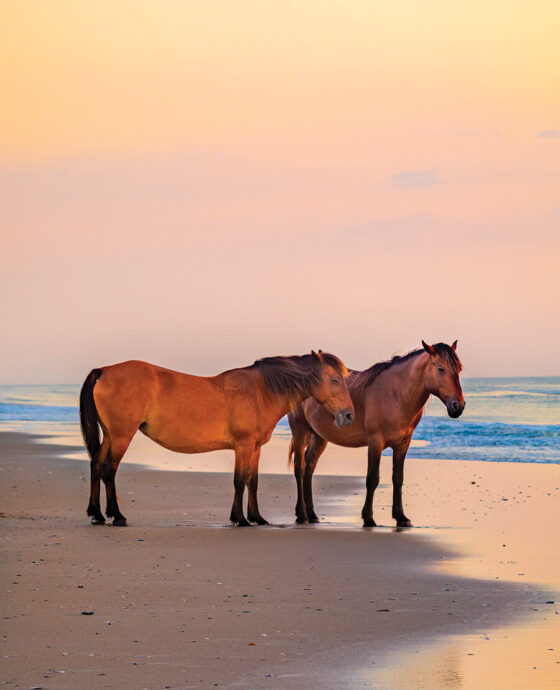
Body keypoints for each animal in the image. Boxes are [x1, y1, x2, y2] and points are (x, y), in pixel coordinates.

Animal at [80, 351, 354, 527]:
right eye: (334, 380)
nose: (349, 415)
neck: (261, 391)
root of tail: (104, 371)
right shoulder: (243, 447)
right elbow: (239, 480)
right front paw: (239, 519)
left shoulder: (255, 448)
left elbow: (253, 481)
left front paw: (257, 518)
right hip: (121, 436)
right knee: (109, 470)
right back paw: (117, 516)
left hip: (110, 436)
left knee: (96, 465)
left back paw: (97, 515)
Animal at [288, 341, 465, 527]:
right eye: (440, 369)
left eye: (459, 369)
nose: (458, 406)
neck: (395, 395)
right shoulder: (375, 442)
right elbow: (372, 479)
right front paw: (368, 518)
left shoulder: (403, 444)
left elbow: (398, 478)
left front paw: (401, 517)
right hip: (300, 431)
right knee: (299, 468)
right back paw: (301, 515)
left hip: (319, 437)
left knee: (310, 467)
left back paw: (312, 514)